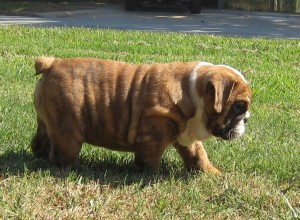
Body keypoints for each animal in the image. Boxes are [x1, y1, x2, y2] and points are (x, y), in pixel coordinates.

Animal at [31, 57, 252, 174]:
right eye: (240, 106)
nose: (247, 118)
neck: (192, 93)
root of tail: (52, 64)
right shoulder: (153, 136)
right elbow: (150, 159)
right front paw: (153, 177)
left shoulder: (186, 136)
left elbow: (198, 154)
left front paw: (211, 172)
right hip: (69, 130)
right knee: (62, 156)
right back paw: (79, 169)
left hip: (48, 121)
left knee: (41, 141)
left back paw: (39, 156)